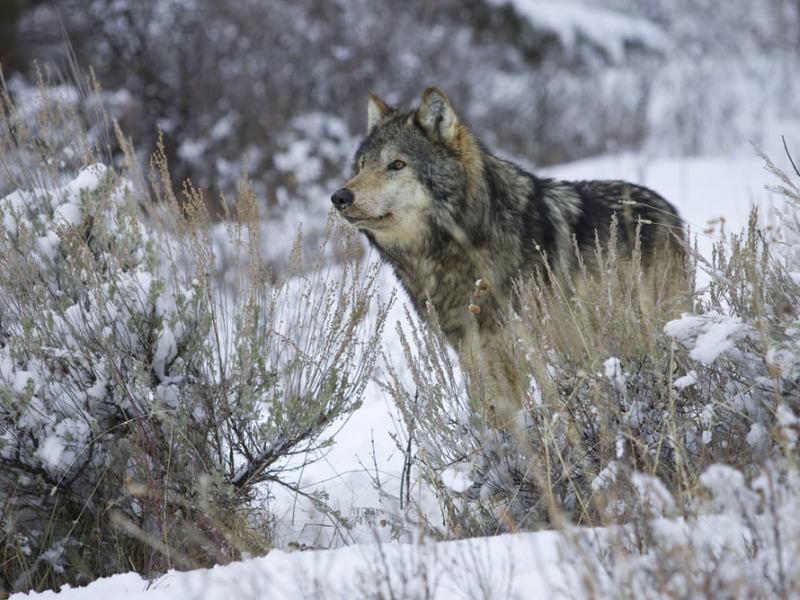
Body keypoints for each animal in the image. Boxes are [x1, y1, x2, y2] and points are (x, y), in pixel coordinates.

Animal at [332, 87, 686, 417]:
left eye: (397, 164)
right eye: (362, 166)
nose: (339, 197)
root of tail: (666, 207)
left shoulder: (516, 354)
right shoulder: (474, 356)